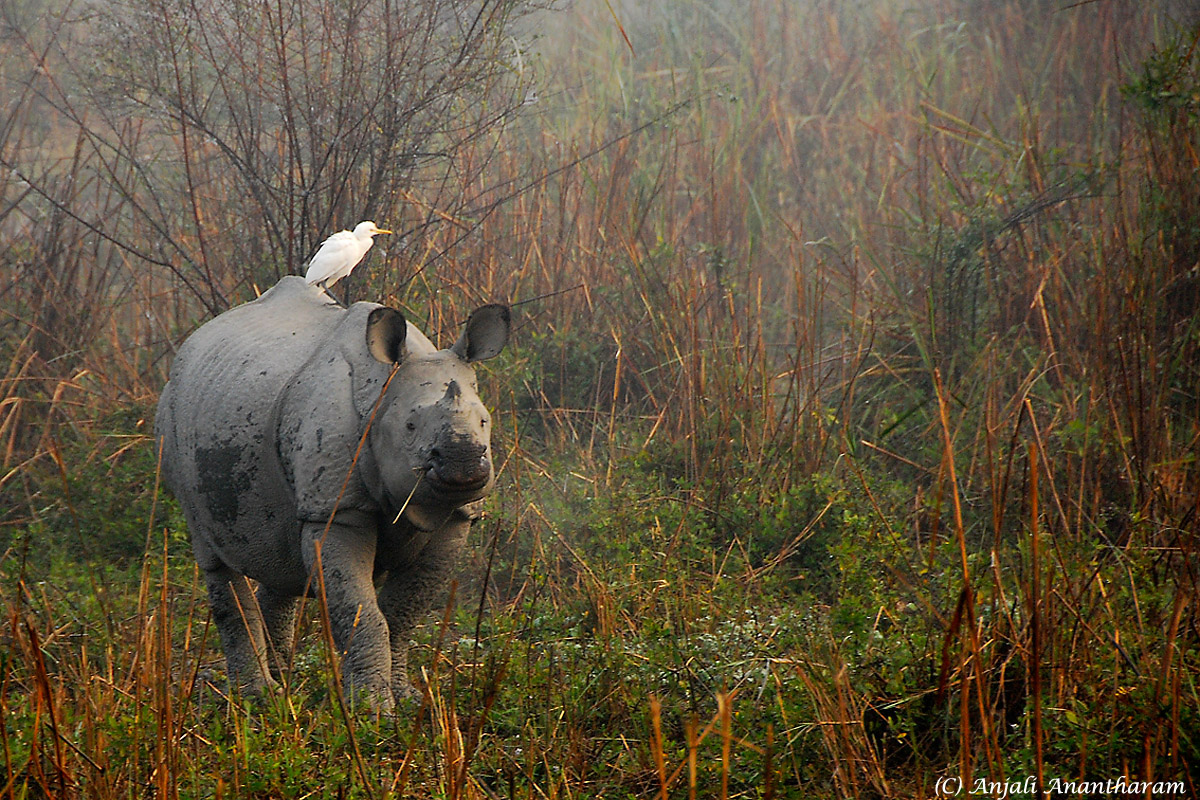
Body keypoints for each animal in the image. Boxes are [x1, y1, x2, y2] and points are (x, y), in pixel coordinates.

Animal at [155, 276, 509, 709]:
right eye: (410, 426)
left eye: (484, 421)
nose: (464, 463)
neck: (382, 396)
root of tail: (190, 345)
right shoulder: (337, 509)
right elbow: (360, 610)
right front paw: (372, 709)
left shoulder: (456, 517)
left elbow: (403, 611)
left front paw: (406, 698)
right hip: (172, 419)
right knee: (215, 557)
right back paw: (259, 697)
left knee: (280, 552)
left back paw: (281, 682)